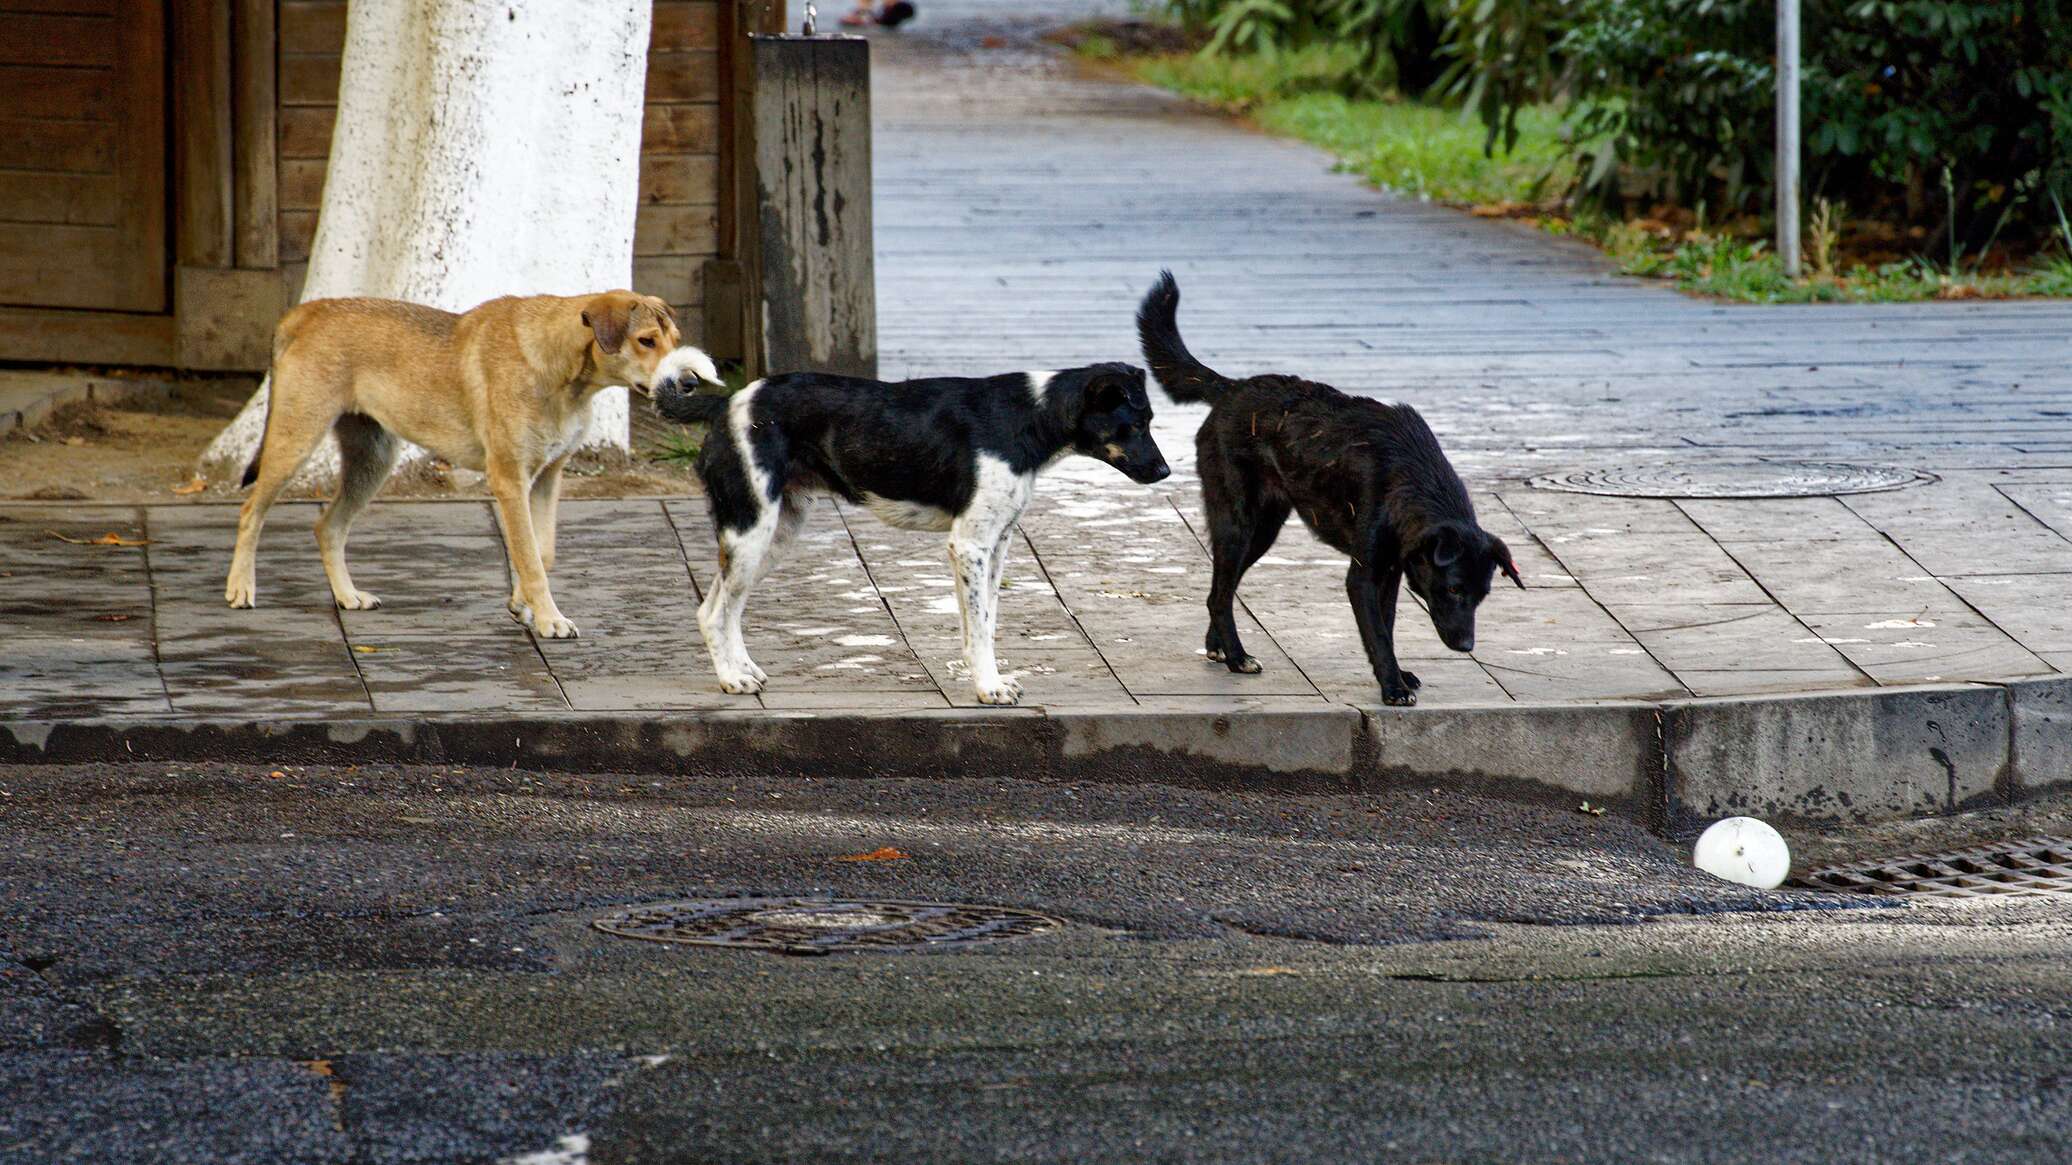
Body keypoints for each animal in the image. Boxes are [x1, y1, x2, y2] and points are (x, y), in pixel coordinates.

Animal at [225, 288, 721, 634]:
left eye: (675, 340)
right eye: (645, 341)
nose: (690, 383)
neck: (563, 371)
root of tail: (305, 311)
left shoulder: (547, 479)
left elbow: (542, 551)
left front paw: (523, 604)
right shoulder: (509, 480)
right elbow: (530, 557)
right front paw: (548, 619)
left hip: (373, 460)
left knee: (328, 526)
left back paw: (347, 596)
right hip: (295, 440)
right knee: (251, 510)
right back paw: (241, 587)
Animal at [663, 366, 1185, 704]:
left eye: (1150, 423)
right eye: (1135, 425)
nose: (1165, 471)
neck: (1031, 416)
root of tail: (728, 403)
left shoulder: (997, 545)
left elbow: (984, 622)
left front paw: (987, 679)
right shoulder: (970, 544)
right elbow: (980, 628)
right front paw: (988, 689)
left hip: (773, 535)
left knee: (725, 606)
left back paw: (743, 670)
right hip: (751, 528)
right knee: (712, 612)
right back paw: (731, 680)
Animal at [1135, 271, 1524, 704]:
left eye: (1482, 594)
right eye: (1454, 588)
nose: (1466, 647)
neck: (1413, 478)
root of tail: (1233, 388)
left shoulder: (1390, 571)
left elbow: (1386, 627)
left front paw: (1397, 676)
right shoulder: (1363, 577)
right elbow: (1378, 635)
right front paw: (1393, 686)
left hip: (1262, 532)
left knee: (1219, 590)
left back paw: (1219, 647)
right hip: (1238, 525)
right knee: (1220, 594)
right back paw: (1237, 657)